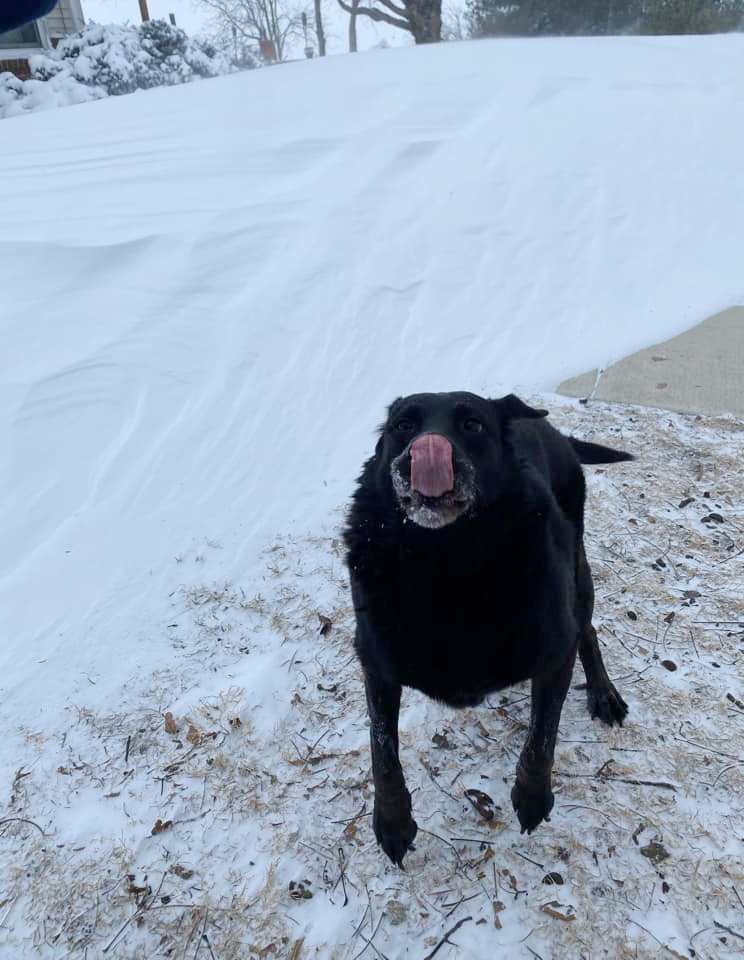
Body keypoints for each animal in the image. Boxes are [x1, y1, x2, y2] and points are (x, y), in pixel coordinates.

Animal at [344, 391, 633, 866]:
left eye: (473, 425)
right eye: (403, 426)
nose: (422, 452)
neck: (447, 561)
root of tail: (551, 429)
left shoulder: (554, 652)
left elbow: (543, 736)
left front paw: (532, 796)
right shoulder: (376, 663)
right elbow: (381, 749)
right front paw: (393, 822)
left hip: (577, 572)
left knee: (586, 629)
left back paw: (603, 693)